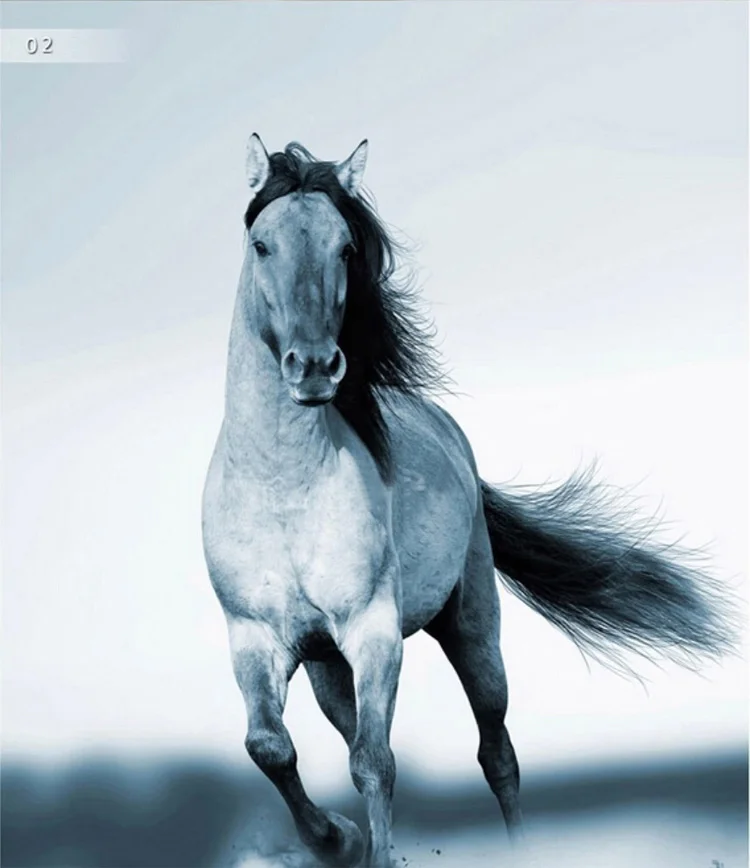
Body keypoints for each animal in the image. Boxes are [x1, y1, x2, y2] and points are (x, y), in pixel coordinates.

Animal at [201, 134, 735, 867]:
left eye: (346, 248)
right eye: (262, 245)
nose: (313, 368)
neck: (283, 489)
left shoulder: (373, 631)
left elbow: (375, 761)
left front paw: (367, 848)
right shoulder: (256, 639)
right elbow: (270, 748)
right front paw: (337, 839)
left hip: (472, 630)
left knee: (496, 753)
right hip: (326, 666)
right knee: (346, 734)